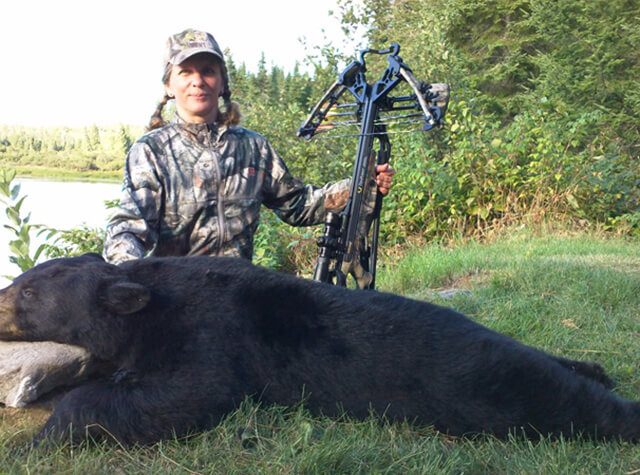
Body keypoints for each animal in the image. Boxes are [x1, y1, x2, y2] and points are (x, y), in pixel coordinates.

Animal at [0, 255, 636, 448]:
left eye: (28, 290)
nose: (0, 299)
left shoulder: (211, 335)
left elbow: (186, 392)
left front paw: (40, 437)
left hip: (488, 383)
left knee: (562, 401)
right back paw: (594, 366)